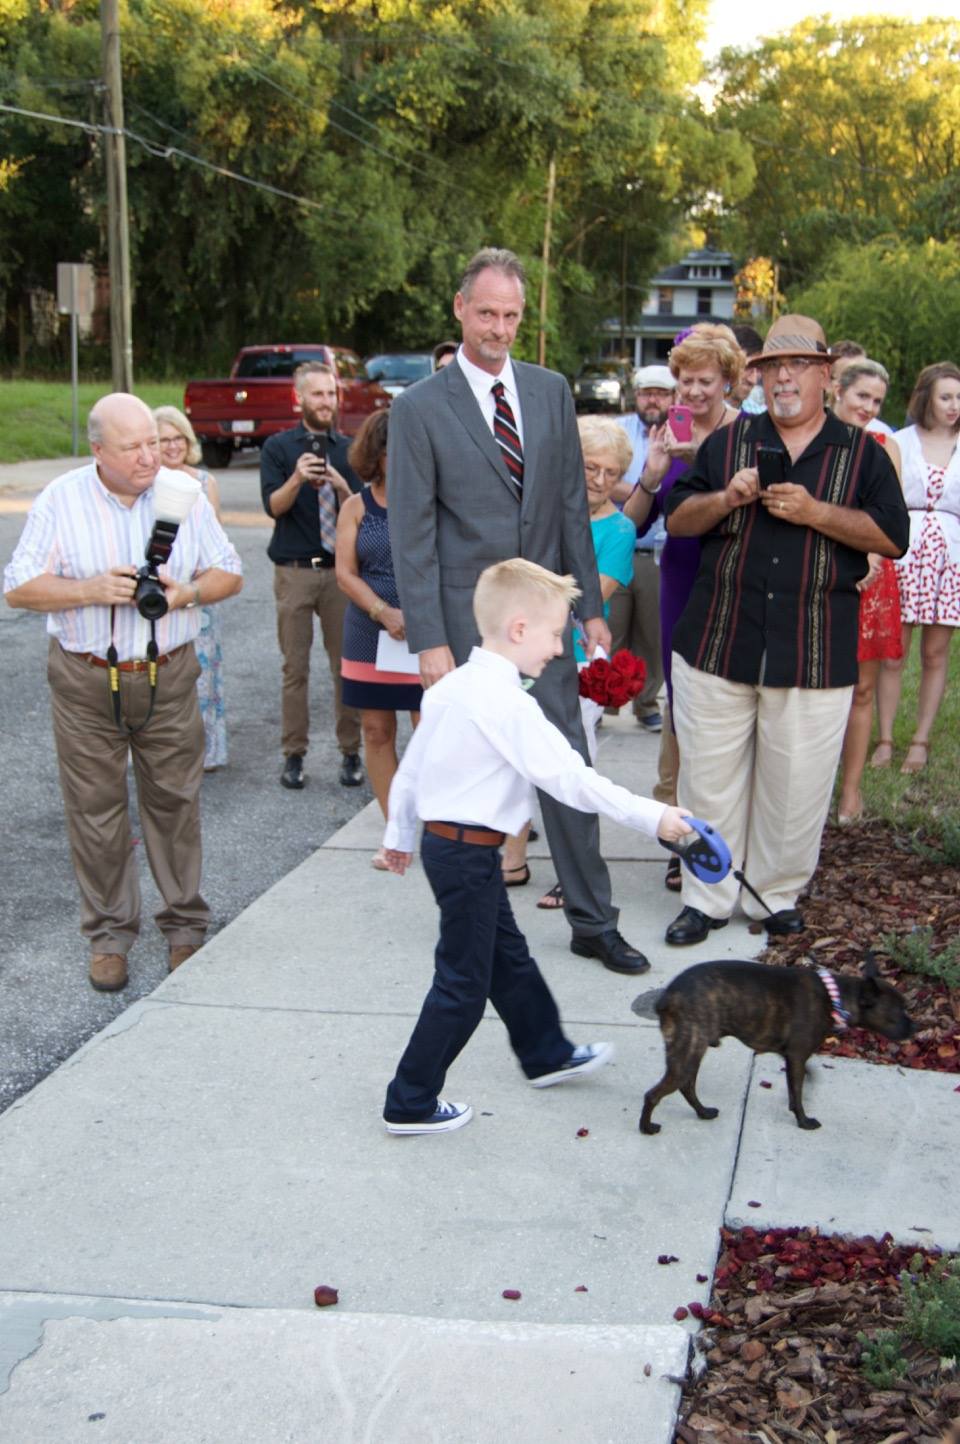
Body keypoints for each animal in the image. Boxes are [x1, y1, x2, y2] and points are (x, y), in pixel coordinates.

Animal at [639, 955, 913, 1134]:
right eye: (899, 1013)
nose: (916, 1026)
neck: (835, 997)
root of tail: (667, 997)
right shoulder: (797, 1056)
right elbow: (798, 1093)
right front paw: (804, 1122)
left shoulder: (791, 1057)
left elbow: (798, 1086)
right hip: (688, 1051)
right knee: (654, 1093)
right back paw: (647, 1127)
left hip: (692, 1051)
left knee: (687, 1086)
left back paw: (703, 1112)